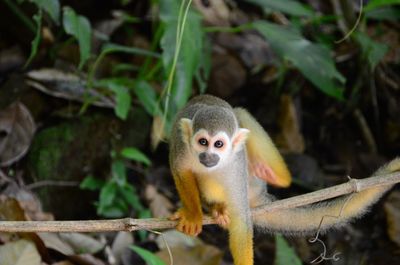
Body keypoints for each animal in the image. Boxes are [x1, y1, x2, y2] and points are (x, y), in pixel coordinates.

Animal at [168, 94, 396, 264]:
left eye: (218, 145)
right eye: (203, 142)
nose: (208, 157)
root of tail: (259, 197)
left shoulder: (235, 167)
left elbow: (241, 223)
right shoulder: (181, 147)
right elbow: (181, 172)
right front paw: (193, 215)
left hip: (251, 180)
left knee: (240, 113)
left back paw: (278, 177)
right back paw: (216, 207)